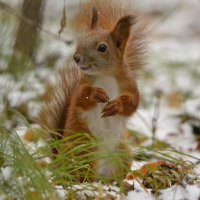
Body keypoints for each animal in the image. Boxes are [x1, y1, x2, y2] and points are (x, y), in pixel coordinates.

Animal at [38, 0, 145, 182]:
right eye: (80, 40)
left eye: (102, 47)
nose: (76, 58)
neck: (105, 74)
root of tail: (59, 162)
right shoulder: (81, 85)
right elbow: (81, 97)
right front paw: (96, 94)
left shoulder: (130, 85)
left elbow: (133, 103)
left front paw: (117, 105)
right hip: (83, 149)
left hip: (121, 153)